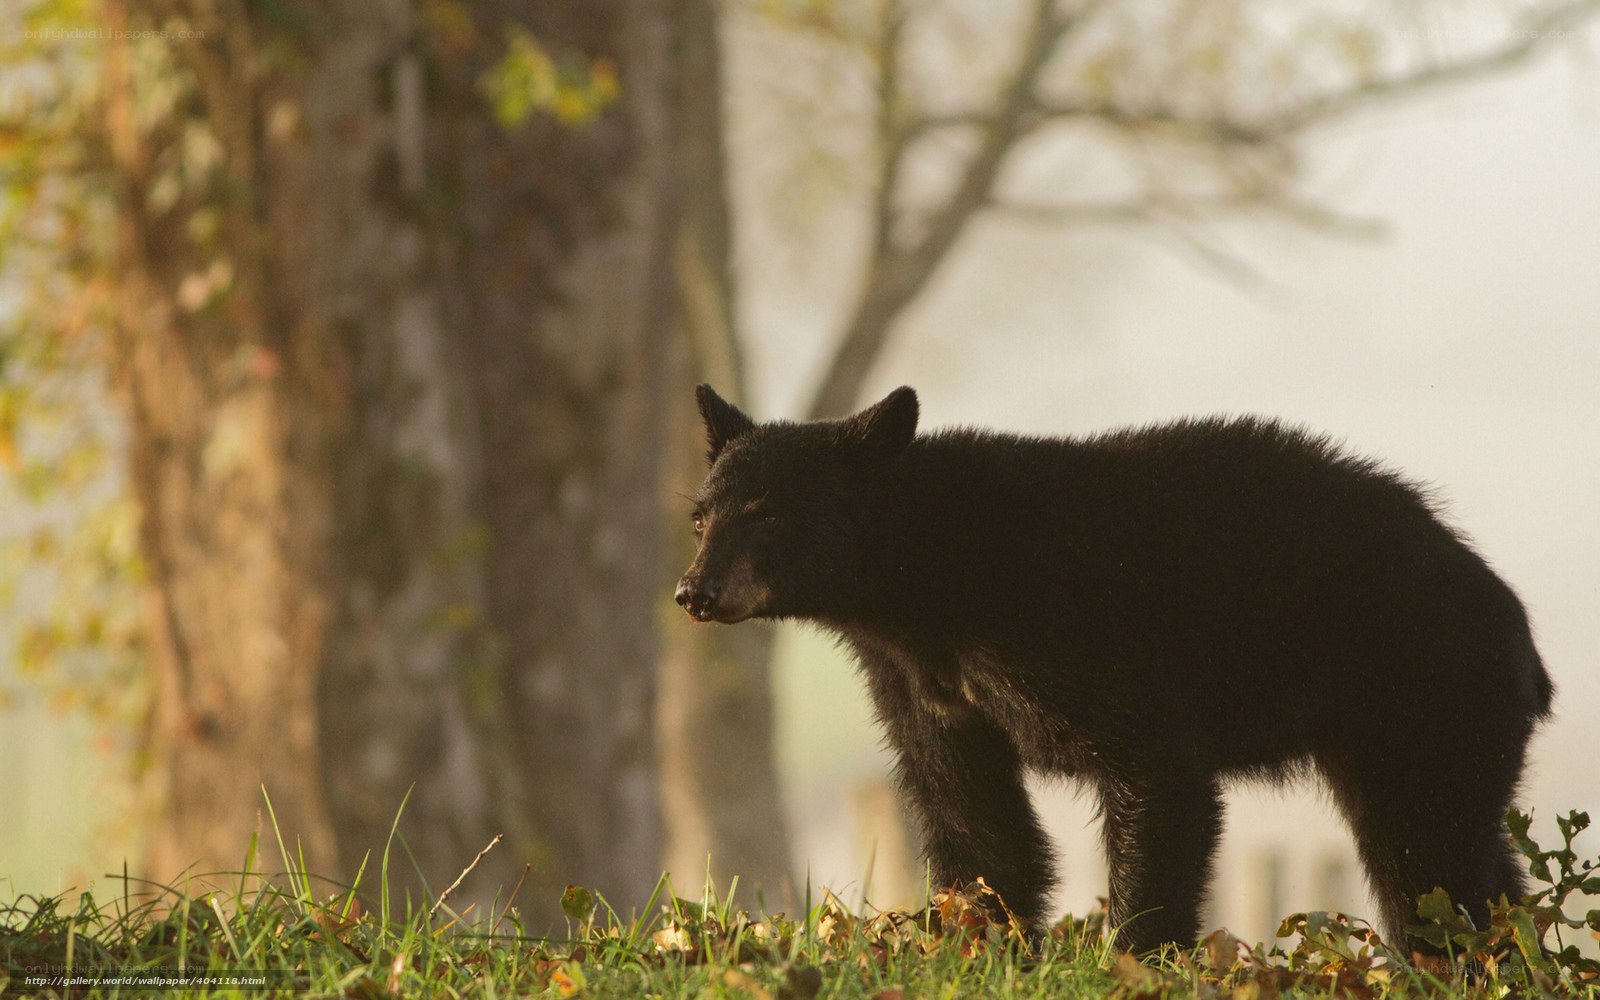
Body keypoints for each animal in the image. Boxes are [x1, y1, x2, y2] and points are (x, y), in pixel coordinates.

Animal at [674, 384, 1553, 955]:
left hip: (1427, 693)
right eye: (700, 515)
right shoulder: (922, 684)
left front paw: (1133, 955)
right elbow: (971, 812)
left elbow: (1156, 777)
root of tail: (1523, 639)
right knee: (1472, 859)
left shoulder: (1071, 638)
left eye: (769, 514)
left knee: (1428, 861)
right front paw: (976, 945)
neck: (931, 583)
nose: (694, 592)